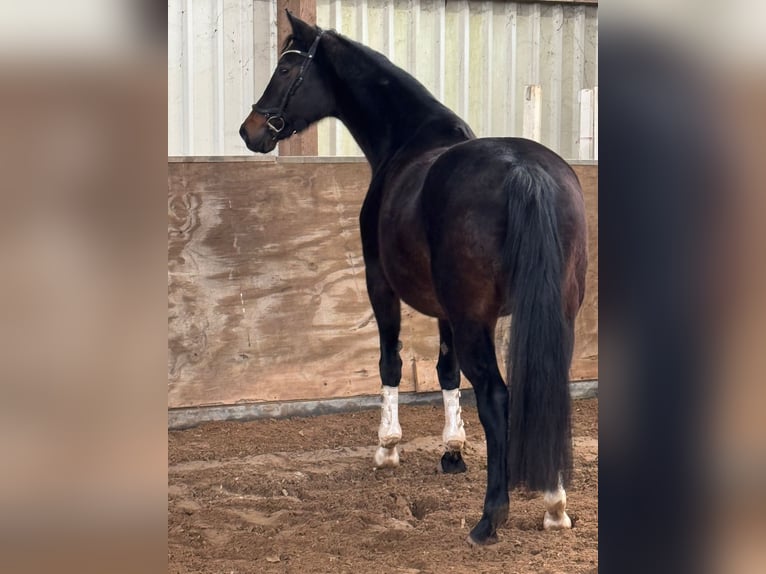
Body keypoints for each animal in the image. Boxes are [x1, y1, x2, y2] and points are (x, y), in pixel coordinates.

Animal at [240, 11, 588, 548]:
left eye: (285, 68)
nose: (250, 129)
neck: (411, 138)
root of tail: (525, 172)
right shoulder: (446, 310)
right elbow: (445, 372)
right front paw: (452, 450)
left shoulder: (379, 282)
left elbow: (390, 362)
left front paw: (387, 447)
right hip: (554, 315)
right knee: (546, 389)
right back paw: (554, 504)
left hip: (473, 321)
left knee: (496, 396)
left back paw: (491, 517)